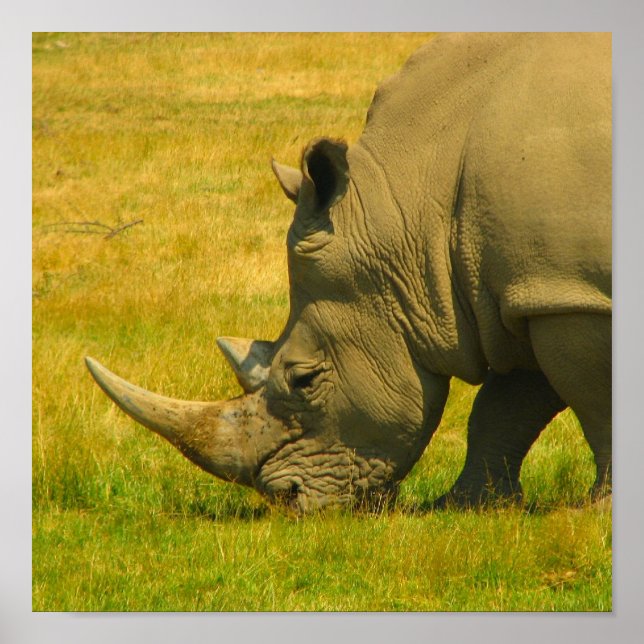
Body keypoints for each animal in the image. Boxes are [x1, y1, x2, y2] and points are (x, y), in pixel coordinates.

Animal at [86, 32, 611, 513]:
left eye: (303, 378)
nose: (287, 500)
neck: (412, 207)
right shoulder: (535, 287)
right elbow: (507, 404)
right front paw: (468, 505)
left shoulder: (565, 292)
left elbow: (592, 397)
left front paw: (598, 510)